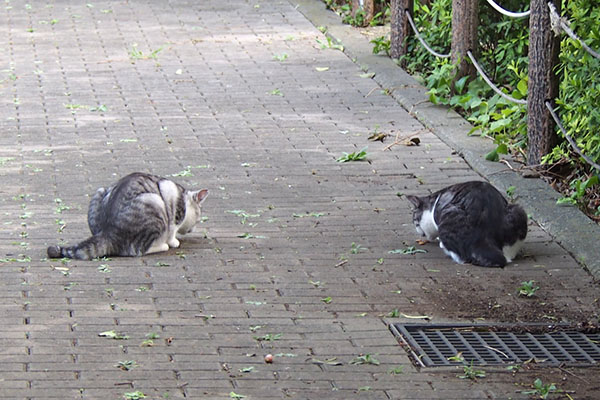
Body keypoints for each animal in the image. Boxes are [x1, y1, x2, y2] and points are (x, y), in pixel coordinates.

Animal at [46, 171, 209, 260]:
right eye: (198, 219)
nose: (192, 230)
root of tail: (108, 233)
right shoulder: (173, 208)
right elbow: (172, 231)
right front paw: (174, 241)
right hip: (154, 202)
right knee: (138, 250)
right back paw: (162, 246)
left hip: (99, 192)